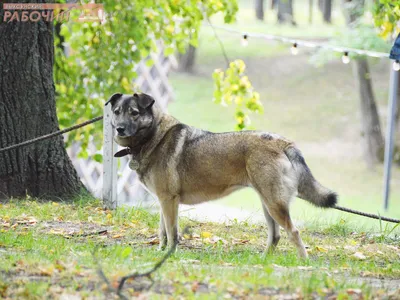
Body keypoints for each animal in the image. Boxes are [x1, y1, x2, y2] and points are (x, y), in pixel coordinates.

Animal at [104, 92, 336, 258]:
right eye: (116, 111)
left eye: (134, 112)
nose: (120, 129)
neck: (153, 136)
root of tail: (282, 142)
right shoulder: (164, 201)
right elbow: (162, 232)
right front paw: (160, 252)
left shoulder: (169, 200)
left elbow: (172, 233)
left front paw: (170, 255)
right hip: (268, 204)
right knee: (276, 236)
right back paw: (263, 261)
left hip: (274, 204)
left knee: (294, 232)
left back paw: (303, 262)